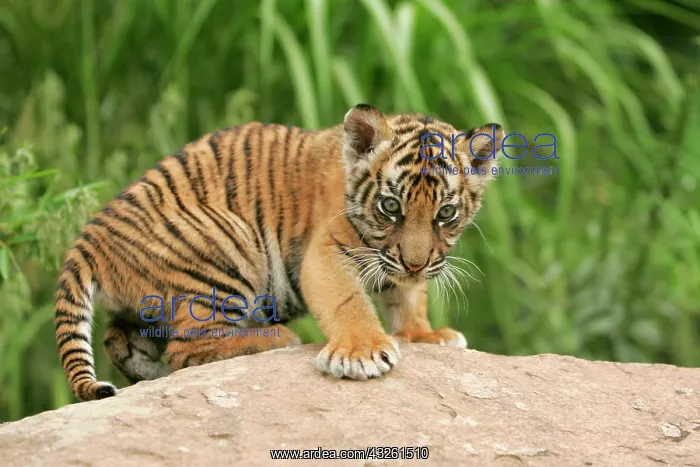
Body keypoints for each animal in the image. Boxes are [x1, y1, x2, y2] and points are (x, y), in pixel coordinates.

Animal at [54, 103, 504, 401]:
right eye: (391, 206)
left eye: (445, 213)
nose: (414, 263)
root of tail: (87, 239)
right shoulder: (326, 252)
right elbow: (349, 302)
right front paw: (362, 353)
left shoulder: (400, 265)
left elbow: (409, 295)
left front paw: (425, 334)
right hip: (230, 246)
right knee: (188, 348)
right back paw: (276, 339)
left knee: (121, 340)